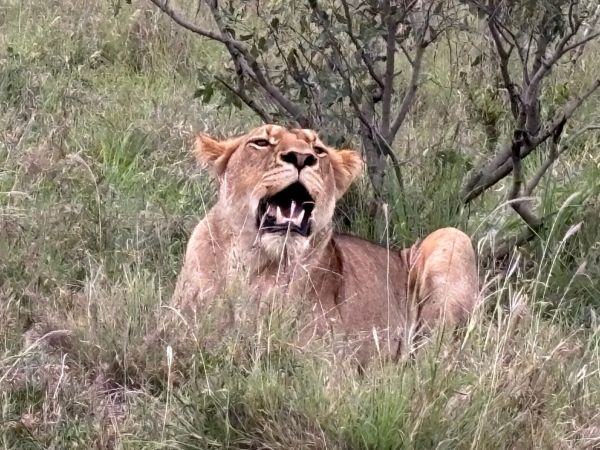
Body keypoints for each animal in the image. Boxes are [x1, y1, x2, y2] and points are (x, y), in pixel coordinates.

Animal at [164, 125, 478, 364]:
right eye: (261, 142)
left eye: (318, 150)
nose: (301, 158)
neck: (255, 265)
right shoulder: (177, 332)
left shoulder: (327, 361)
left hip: (453, 237)